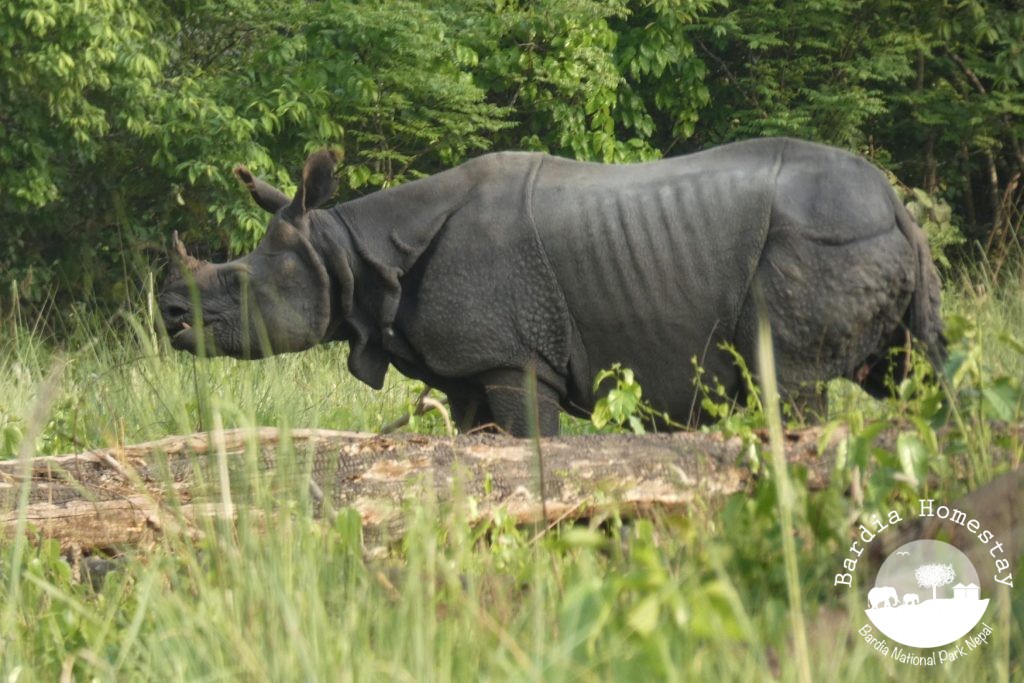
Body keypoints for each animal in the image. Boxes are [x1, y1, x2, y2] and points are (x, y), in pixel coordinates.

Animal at [158, 137, 945, 437]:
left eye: (234, 281)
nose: (167, 315)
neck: (352, 253)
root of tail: (897, 204)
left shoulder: (516, 361)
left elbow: (530, 444)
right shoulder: (473, 369)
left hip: (817, 240)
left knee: (795, 384)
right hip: (861, 239)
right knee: (912, 372)